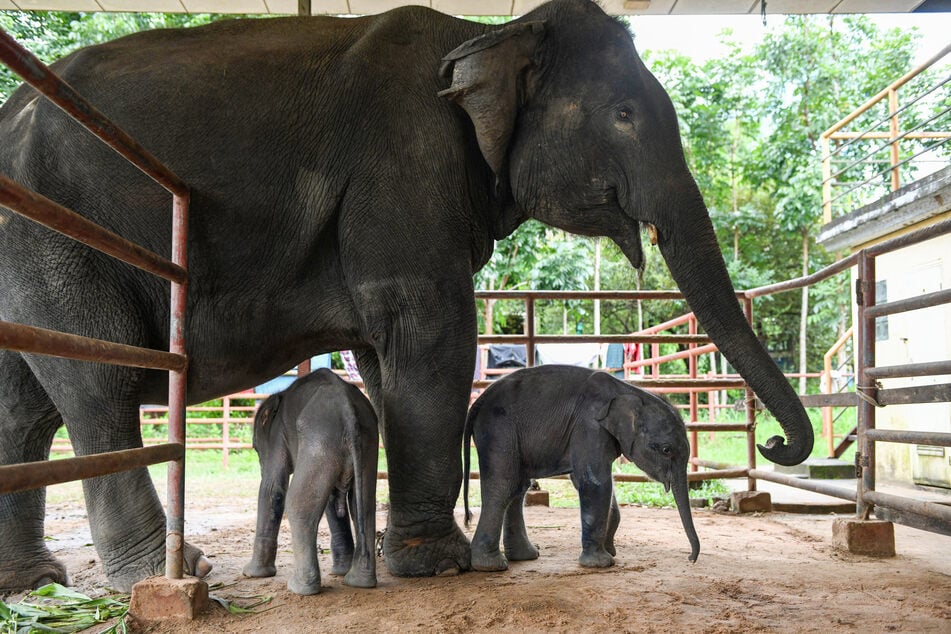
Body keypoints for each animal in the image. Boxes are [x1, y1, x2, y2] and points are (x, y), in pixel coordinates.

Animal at [242, 366, 380, 592]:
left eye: (255, 448)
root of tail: (348, 412)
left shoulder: (278, 435)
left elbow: (273, 489)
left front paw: (252, 574)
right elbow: (333, 498)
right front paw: (339, 571)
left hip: (319, 439)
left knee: (297, 503)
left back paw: (300, 587)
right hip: (365, 440)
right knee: (364, 504)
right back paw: (359, 582)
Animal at [462, 362, 700, 572]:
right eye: (666, 450)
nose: (690, 558)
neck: (629, 391)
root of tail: (477, 403)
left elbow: (597, 486)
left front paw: (610, 551)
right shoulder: (589, 426)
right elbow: (596, 483)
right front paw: (602, 563)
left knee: (518, 488)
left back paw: (526, 556)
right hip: (499, 430)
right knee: (505, 486)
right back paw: (491, 566)